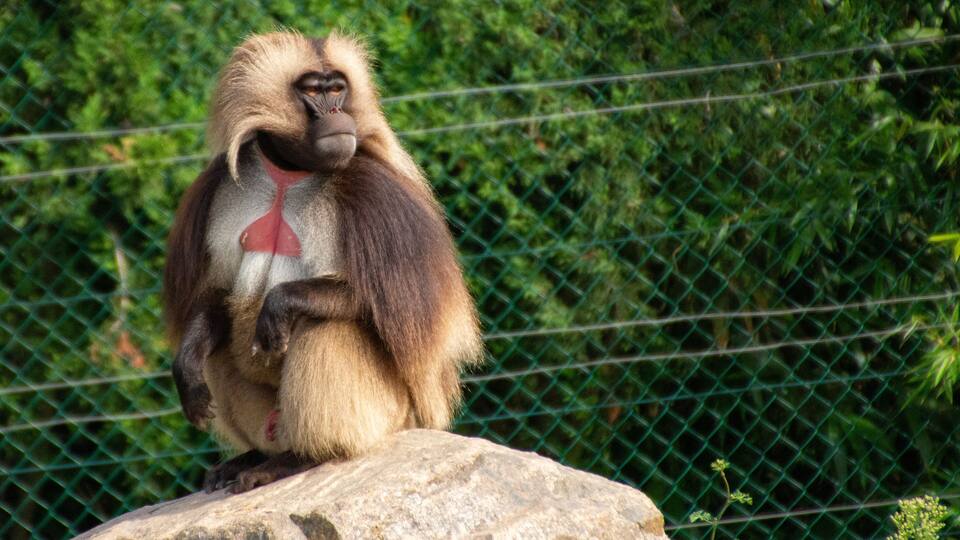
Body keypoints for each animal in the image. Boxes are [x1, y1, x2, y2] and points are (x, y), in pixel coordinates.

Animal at [163, 31, 482, 494]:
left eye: (338, 89)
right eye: (313, 91)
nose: (337, 114)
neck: (289, 174)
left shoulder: (375, 196)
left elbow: (391, 311)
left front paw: (278, 305)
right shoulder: (219, 185)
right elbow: (218, 293)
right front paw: (186, 366)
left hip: (387, 416)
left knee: (323, 326)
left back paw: (300, 459)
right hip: (271, 419)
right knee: (219, 349)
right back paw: (254, 456)